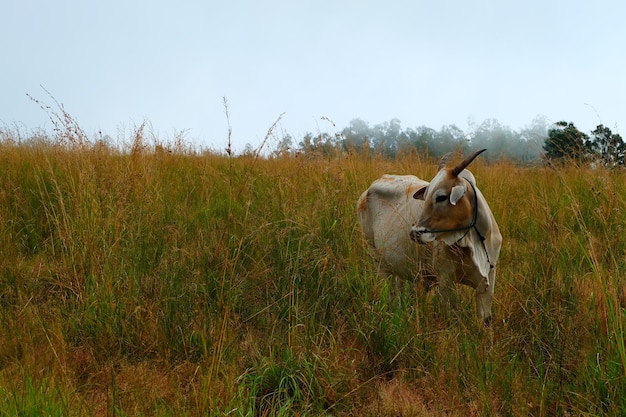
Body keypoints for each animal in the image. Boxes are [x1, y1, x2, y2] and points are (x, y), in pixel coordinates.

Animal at [358, 148, 500, 324]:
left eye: (441, 197)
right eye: (425, 197)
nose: (415, 233)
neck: (474, 243)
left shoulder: (488, 279)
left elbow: (486, 319)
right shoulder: (445, 279)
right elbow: (453, 316)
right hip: (378, 259)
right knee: (391, 290)